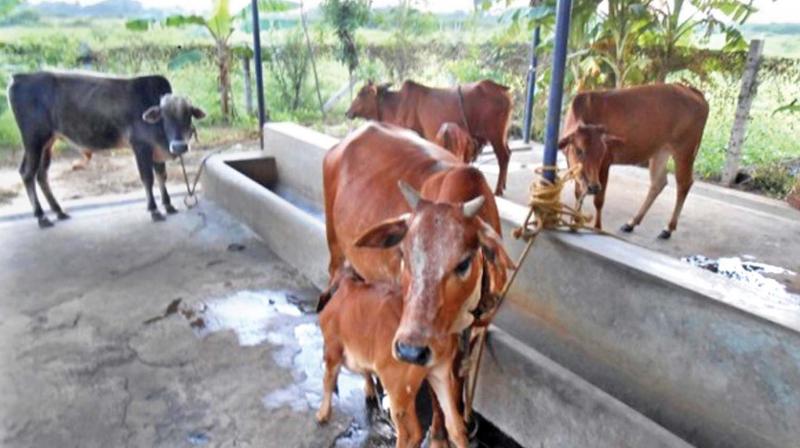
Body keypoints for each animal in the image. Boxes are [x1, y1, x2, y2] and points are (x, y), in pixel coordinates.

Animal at [7, 73, 206, 229]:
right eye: (165, 116)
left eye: (188, 115)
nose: (179, 146)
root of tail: (19, 77)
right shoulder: (141, 147)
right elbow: (148, 179)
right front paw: (155, 210)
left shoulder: (156, 152)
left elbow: (161, 176)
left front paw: (169, 205)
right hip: (34, 140)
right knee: (27, 173)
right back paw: (41, 216)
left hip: (48, 142)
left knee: (41, 174)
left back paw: (59, 211)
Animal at [318, 268, 466, 446]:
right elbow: (365, 372)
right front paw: (369, 390)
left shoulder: (332, 349)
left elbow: (327, 380)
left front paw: (322, 414)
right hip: (439, 376)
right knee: (456, 427)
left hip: (397, 390)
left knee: (411, 432)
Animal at [346, 78, 512, 196]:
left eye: (361, 93)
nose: (347, 112)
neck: (395, 105)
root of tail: (501, 88)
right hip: (502, 135)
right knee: (508, 153)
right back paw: (503, 185)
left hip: (495, 135)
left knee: (503, 156)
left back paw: (498, 190)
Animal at [560, 82, 708, 240]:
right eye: (579, 150)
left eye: (602, 152)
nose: (593, 187)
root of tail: (694, 92)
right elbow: (578, 193)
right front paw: (574, 223)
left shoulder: (605, 163)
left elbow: (598, 201)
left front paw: (597, 228)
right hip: (660, 151)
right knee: (658, 183)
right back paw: (631, 223)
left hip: (685, 150)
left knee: (684, 184)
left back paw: (668, 228)